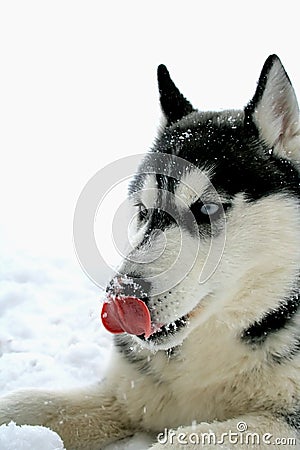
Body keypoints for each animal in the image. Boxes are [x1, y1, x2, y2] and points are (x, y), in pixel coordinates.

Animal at [0, 54, 300, 448]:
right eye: (143, 211)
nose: (122, 295)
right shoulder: (126, 393)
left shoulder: (284, 421)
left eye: (206, 208)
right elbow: (28, 402)